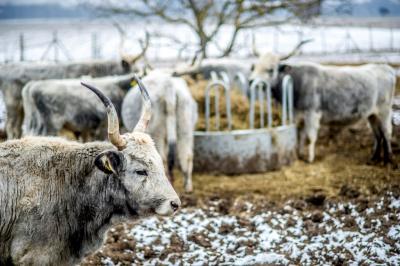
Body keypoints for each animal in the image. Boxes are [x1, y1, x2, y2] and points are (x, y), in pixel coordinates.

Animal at [248, 58, 396, 163]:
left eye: (270, 70)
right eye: (254, 67)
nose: (251, 81)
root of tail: (384, 67)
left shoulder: (312, 113)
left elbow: (310, 136)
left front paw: (310, 159)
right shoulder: (299, 115)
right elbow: (300, 135)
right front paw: (299, 155)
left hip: (385, 111)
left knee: (387, 132)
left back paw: (387, 159)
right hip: (372, 115)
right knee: (378, 135)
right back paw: (374, 158)